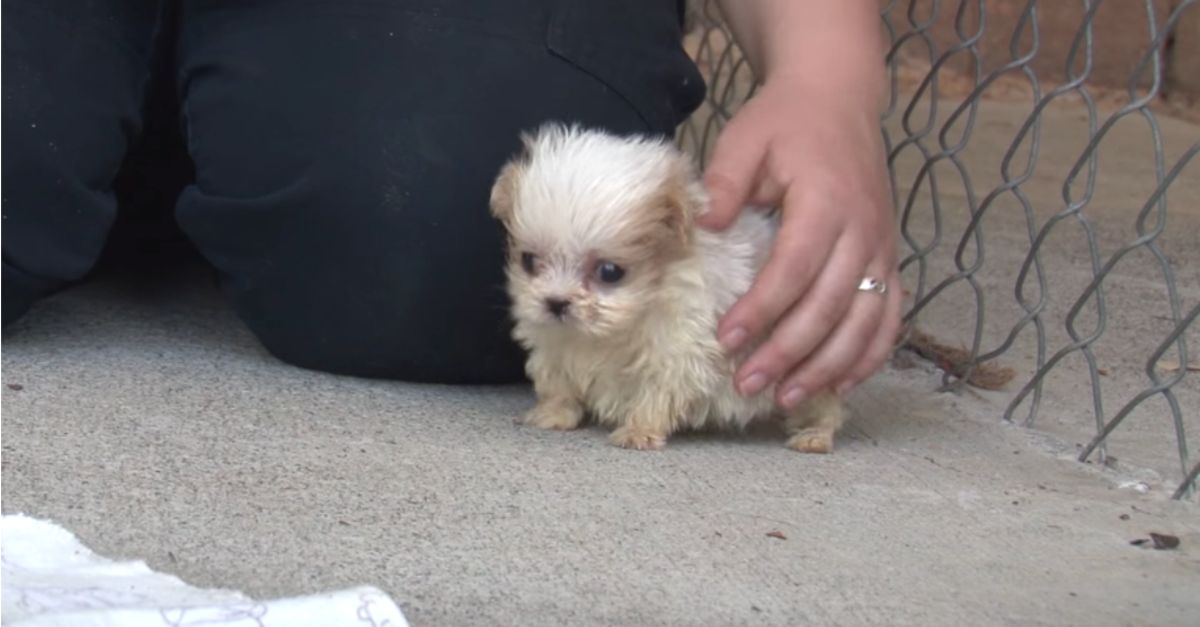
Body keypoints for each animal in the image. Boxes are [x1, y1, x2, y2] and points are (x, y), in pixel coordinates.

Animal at [487, 124, 844, 451]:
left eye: (609, 272)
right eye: (529, 260)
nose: (556, 302)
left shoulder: (678, 350)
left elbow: (657, 392)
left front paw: (639, 430)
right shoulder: (554, 343)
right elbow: (558, 382)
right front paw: (554, 413)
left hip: (805, 370)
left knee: (824, 407)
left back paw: (815, 435)